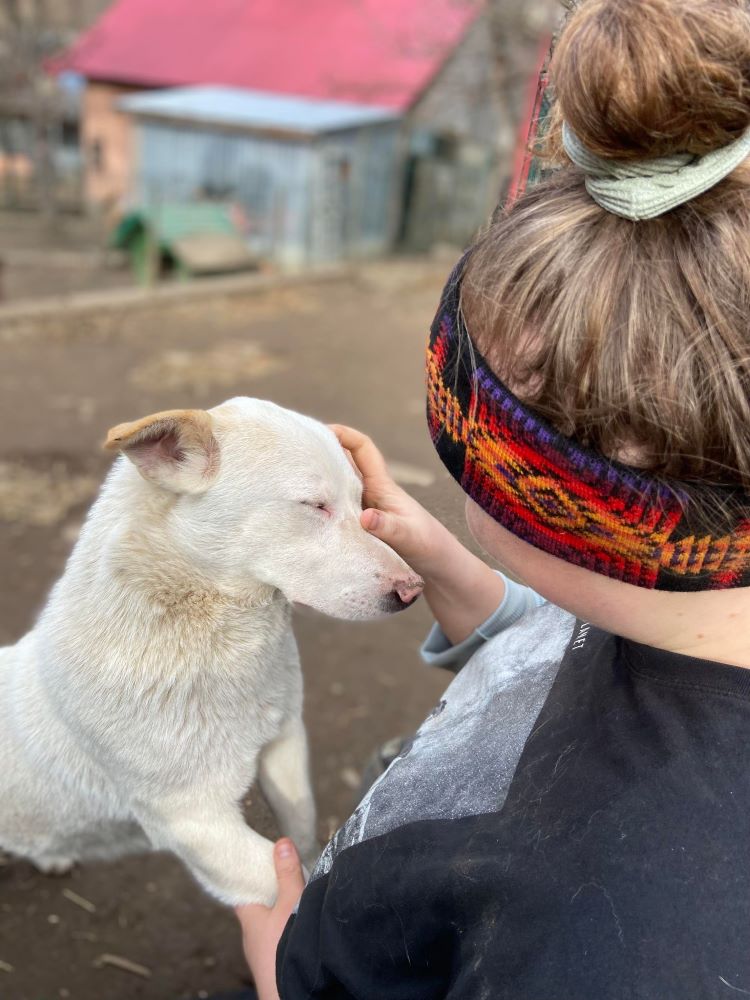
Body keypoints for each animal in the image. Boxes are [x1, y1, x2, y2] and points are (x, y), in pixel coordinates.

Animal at [0, 398, 424, 908]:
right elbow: (292, 887)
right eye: (314, 505)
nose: (413, 590)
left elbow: (302, 837)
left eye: (363, 503)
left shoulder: (284, 741)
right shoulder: (193, 821)